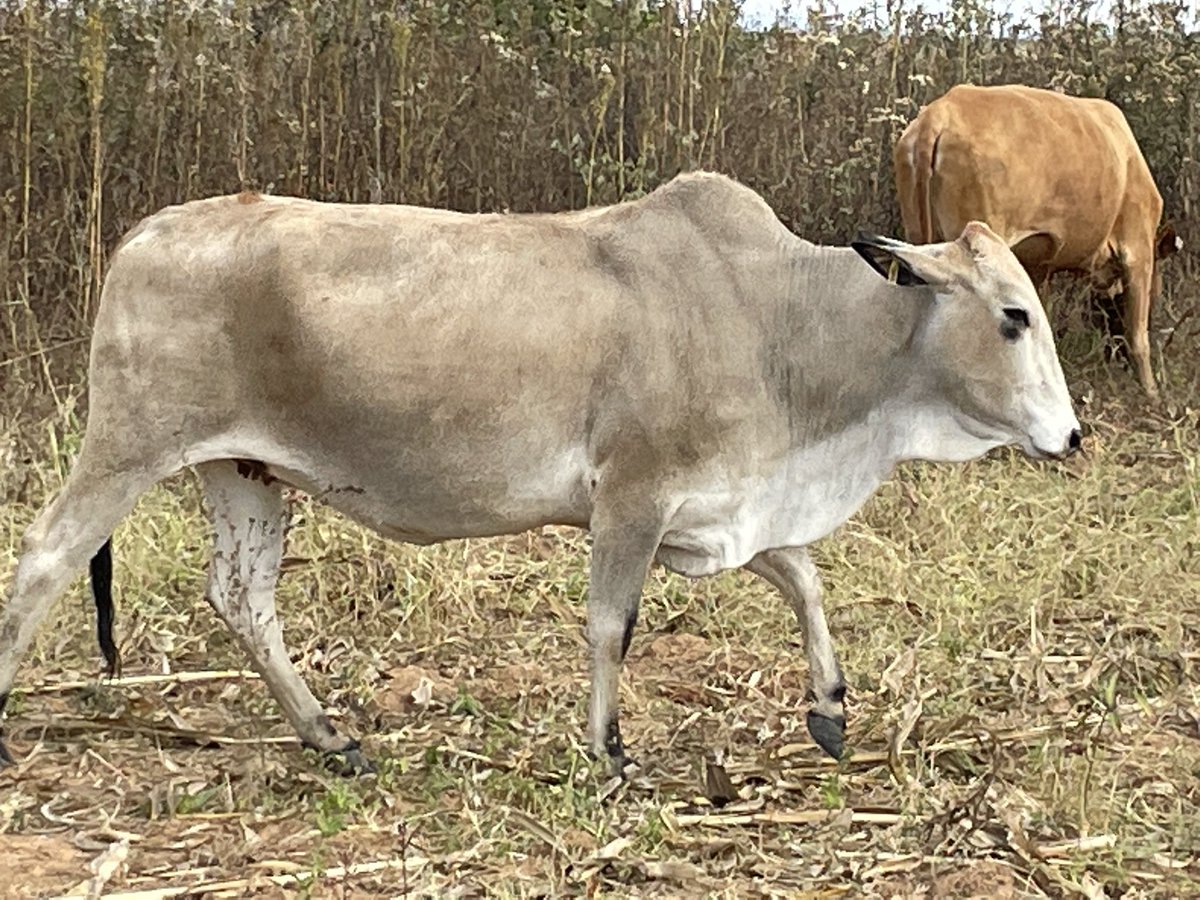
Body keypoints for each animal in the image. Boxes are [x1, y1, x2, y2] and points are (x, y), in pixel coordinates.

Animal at [0, 172, 1082, 777]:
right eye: (1013, 315)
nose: (1071, 436)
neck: (777, 317)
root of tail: (144, 233)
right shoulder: (632, 497)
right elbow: (612, 625)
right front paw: (609, 752)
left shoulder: (721, 507)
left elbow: (804, 580)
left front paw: (828, 708)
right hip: (129, 444)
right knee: (45, 560)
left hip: (242, 471)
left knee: (241, 598)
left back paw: (331, 738)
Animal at [893, 83, 1181, 398]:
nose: (1114, 359)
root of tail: (941, 112)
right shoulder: (1138, 249)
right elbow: (1138, 332)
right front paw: (1151, 390)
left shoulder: (1040, 264)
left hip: (917, 236)